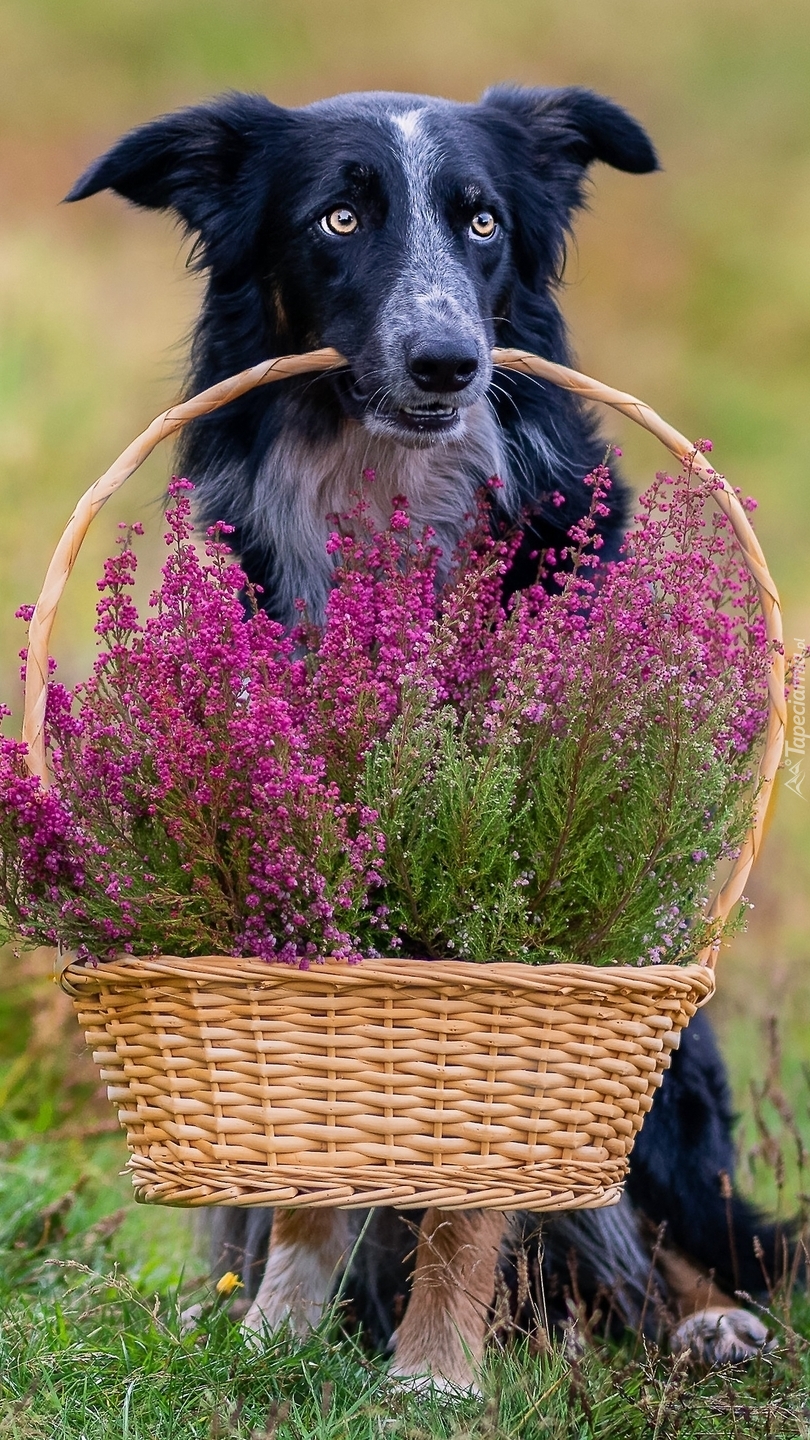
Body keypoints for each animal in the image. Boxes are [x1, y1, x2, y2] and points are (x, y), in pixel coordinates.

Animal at [70, 84, 784, 1388]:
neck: (385, 490)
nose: (448, 359)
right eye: (340, 217)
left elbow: (478, 1181)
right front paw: (278, 1330)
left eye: (484, 220)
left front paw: (433, 1372)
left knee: (680, 1237)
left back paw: (705, 1324)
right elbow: (314, 1163)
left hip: (677, 1089)